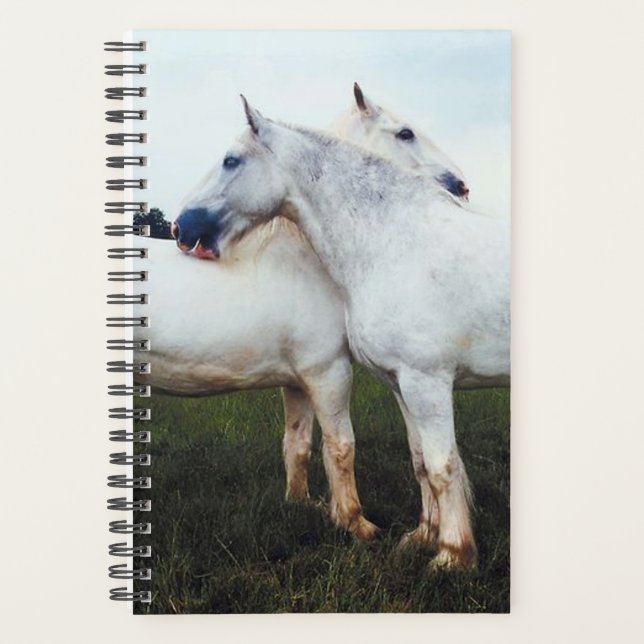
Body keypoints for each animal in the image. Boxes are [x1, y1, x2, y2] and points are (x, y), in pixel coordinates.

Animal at [172, 98, 510, 570]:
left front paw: (450, 556)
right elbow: (420, 461)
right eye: (406, 133)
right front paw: (423, 538)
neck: (397, 245)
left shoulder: (423, 381)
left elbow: (439, 465)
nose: (181, 227)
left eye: (230, 160)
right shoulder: (400, 383)